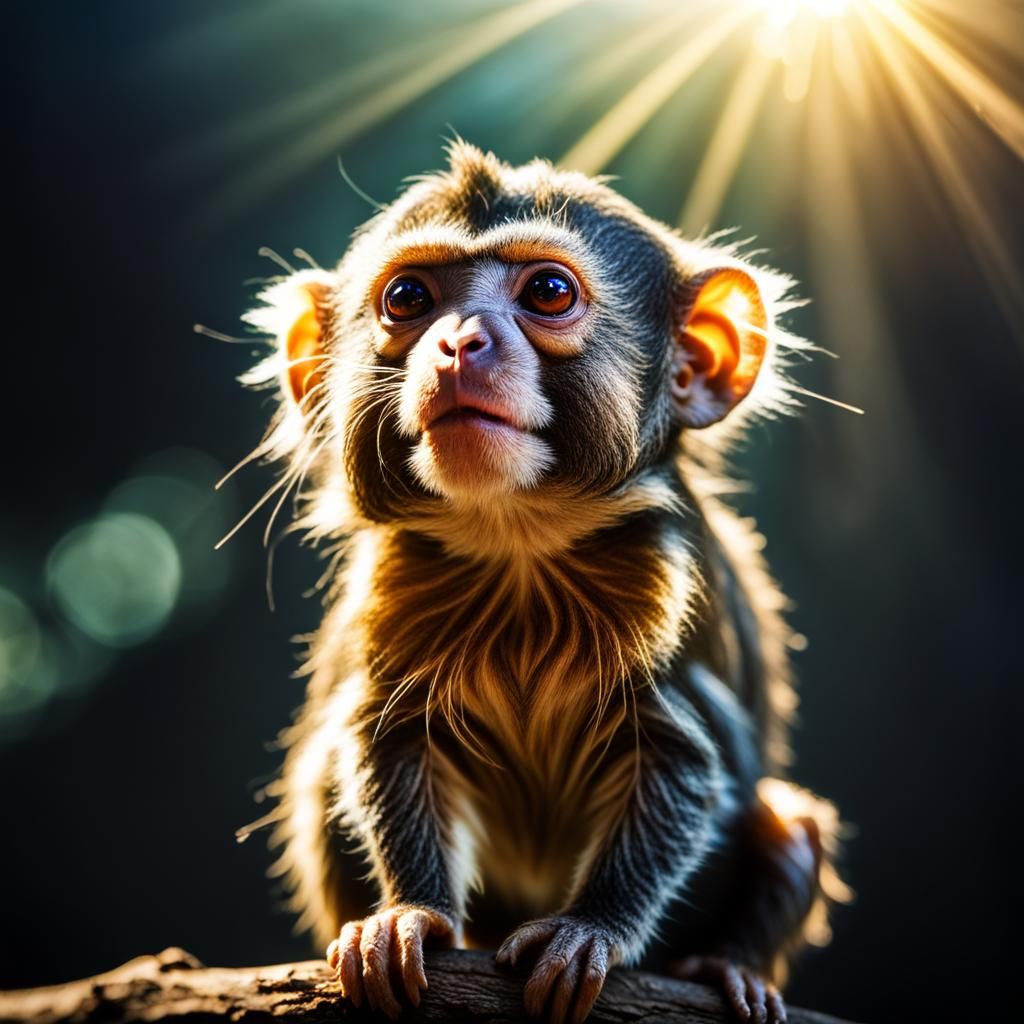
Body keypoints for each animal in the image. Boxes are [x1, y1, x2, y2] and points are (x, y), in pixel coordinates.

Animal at [237, 142, 846, 1024]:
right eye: (408, 298)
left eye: (548, 293)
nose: (460, 342)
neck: (519, 547)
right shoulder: (397, 589)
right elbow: (389, 740)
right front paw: (407, 914)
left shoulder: (668, 586)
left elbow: (683, 763)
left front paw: (591, 930)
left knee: (789, 827)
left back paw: (729, 967)